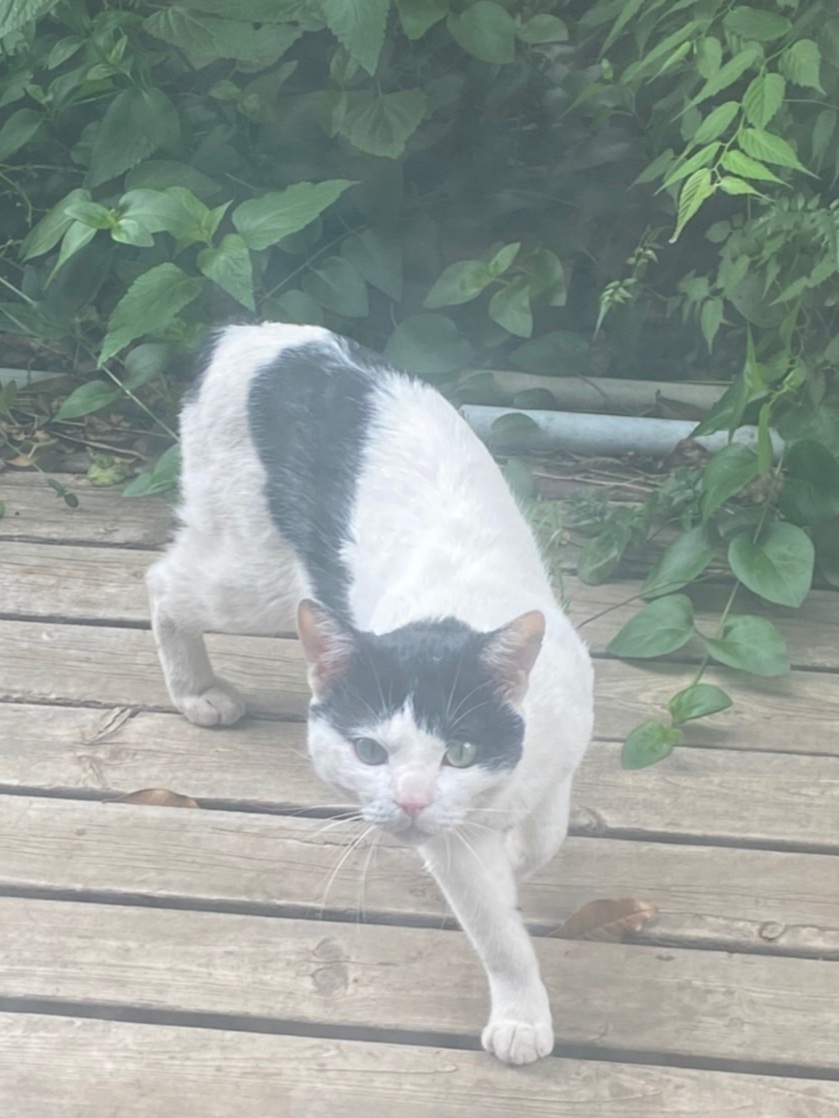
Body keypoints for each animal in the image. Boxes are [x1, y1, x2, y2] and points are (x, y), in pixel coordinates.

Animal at [146, 323, 594, 1066]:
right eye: (368, 752)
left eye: (459, 752)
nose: (410, 801)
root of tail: (249, 331)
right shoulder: (452, 849)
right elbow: (497, 935)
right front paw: (522, 1016)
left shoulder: (566, 730)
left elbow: (547, 832)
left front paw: (519, 853)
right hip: (252, 577)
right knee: (162, 582)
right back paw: (196, 690)